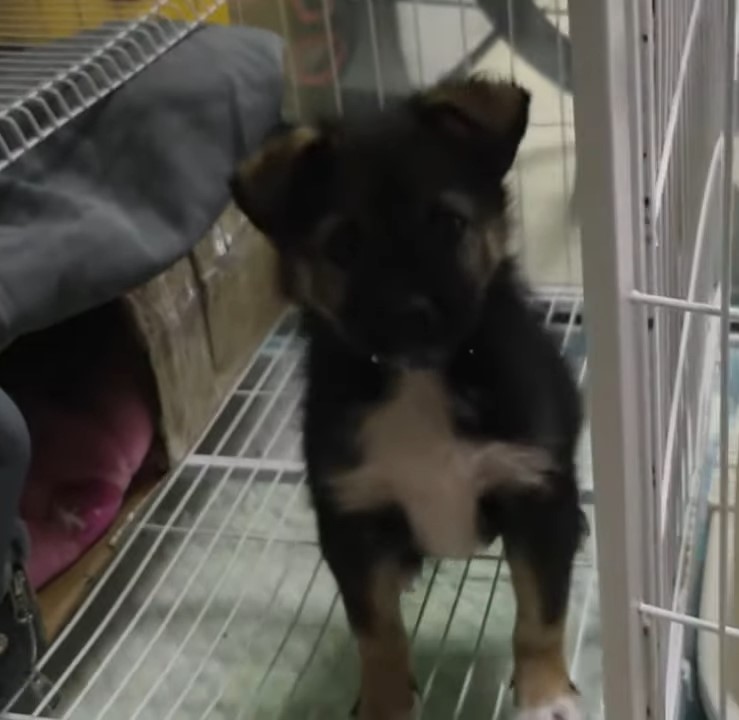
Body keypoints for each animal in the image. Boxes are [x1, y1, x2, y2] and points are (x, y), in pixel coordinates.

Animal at [234, 79, 588, 720]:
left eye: (448, 223)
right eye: (343, 245)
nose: (409, 315)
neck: (417, 379)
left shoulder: (535, 493)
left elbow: (540, 614)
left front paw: (545, 692)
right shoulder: (351, 516)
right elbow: (376, 631)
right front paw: (385, 701)